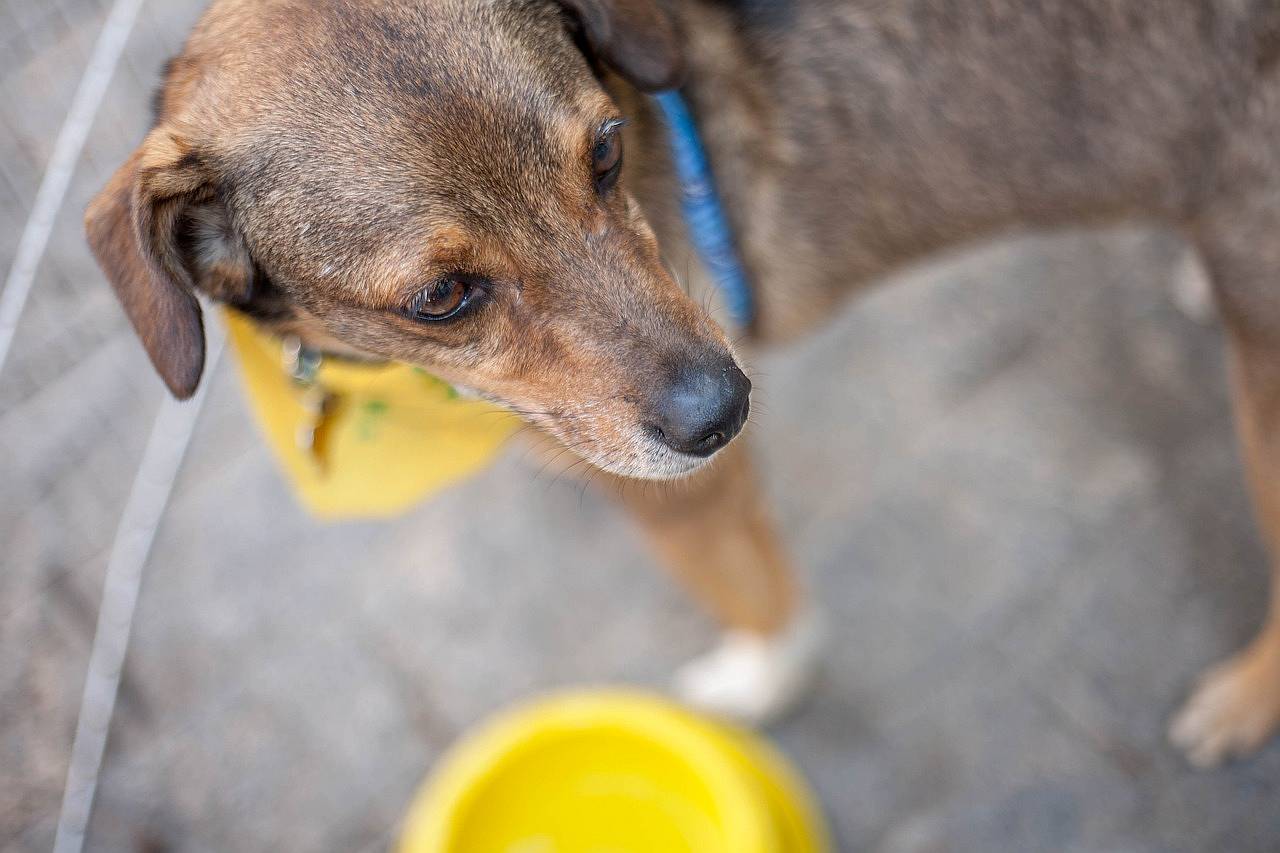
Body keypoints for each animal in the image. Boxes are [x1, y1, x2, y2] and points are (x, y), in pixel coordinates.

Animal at [85, 0, 1280, 768]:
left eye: (608, 152)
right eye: (441, 296)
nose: (726, 412)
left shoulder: (677, 497)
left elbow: (761, 603)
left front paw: (757, 684)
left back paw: (1240, 702)